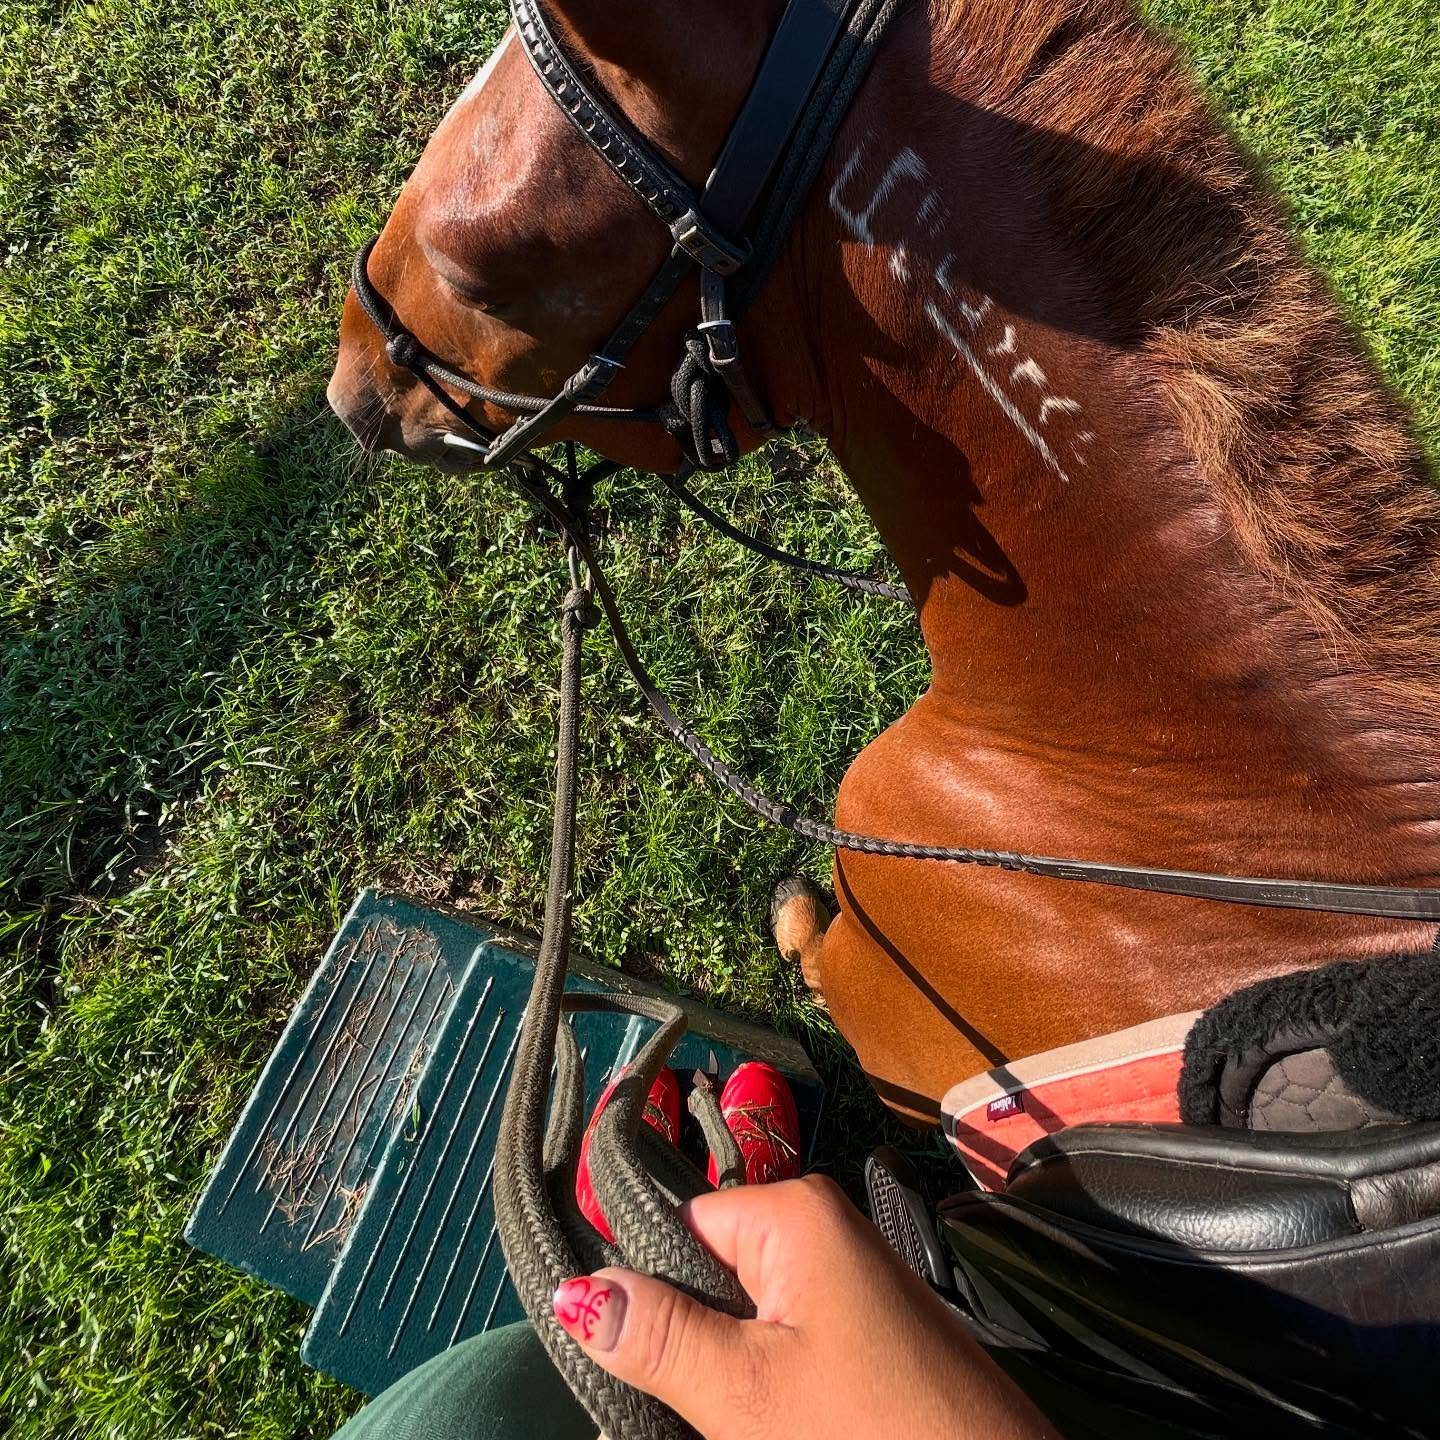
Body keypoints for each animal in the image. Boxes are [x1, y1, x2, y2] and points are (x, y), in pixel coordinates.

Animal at [327, 0, 1440, 1129]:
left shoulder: (891, 1023)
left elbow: (815, 953)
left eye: (477, 274)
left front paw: (793, 914)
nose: (347, 385)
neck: (1164, 759)